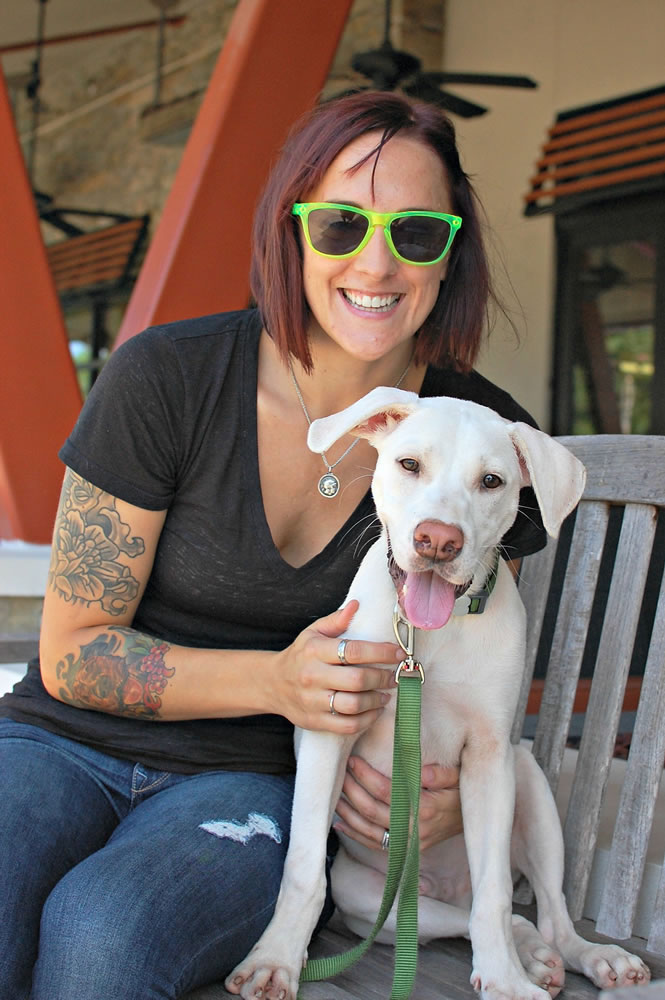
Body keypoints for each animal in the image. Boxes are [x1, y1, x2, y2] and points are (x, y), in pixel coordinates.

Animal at [227, 388, 648, 1000]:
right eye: (409, 465)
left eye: (492, 481)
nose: (438, 540)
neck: (427, 639)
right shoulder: (332, 729)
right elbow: (302, 868)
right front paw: (275, 960)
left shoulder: (491, 758)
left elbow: (496, 896)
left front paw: (504, 982)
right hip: (366, 899)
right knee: (472, 920)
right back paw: (533, 956)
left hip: (530, 783)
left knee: (535, 912)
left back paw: (581, 957)